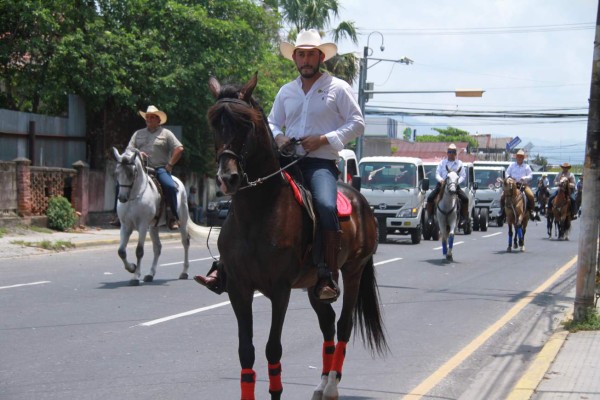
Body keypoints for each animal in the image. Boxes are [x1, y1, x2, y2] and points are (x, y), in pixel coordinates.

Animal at [110, 148, 190, 286]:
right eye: (116, 173)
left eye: (131, 173)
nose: (122, 198)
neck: (134, 197)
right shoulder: (125, 226)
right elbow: (121, 251)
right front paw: (132, 268)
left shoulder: (143, 226)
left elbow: (139, 251)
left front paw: (135, 277)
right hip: (153, 227)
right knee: (157, 248)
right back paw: (150, 274)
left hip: (182, 222)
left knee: (185, 242)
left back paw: (184, 272)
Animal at [192, 73, 390, 398]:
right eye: (214, 123)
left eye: (246, 124)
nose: (227, 178)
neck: (259, 210)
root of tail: (361, 200)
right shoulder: (238, 288)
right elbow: (246, 352)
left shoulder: (280, 290)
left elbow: (273, 350)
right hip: (316, 284)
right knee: (328, 325)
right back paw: (321, 384)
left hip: (353, 271)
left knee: (344, 325)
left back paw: (332, 385)